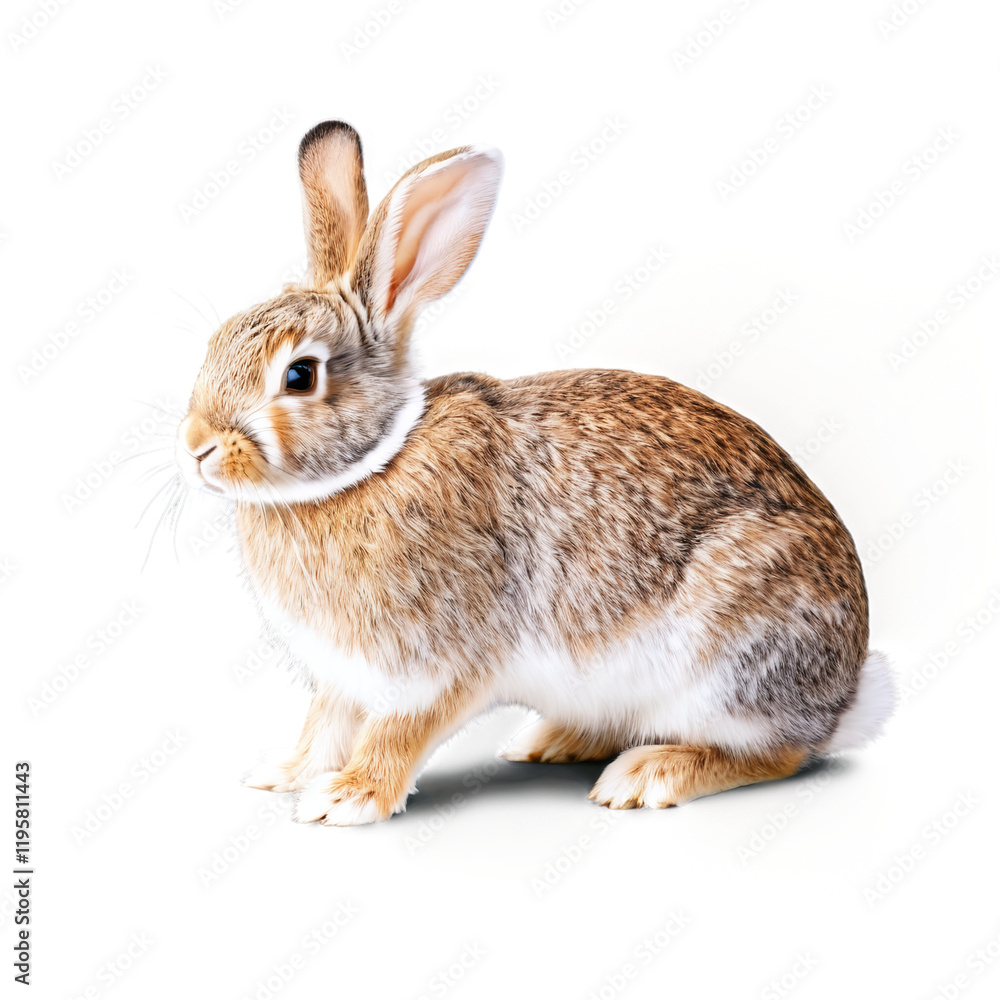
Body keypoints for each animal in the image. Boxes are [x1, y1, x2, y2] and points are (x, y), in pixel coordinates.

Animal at [175, 120, 895, 826]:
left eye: (300, 375)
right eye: (217, 342)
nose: (196, 447)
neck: (372, 464)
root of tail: (846, 694)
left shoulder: (437, 662)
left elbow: (398, 733)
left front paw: (348, 797)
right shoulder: (342, 677)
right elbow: (324, 724)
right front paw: (286, 774)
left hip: (730, 662)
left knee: (778, 753)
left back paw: (647, 776)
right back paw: (551, 741)